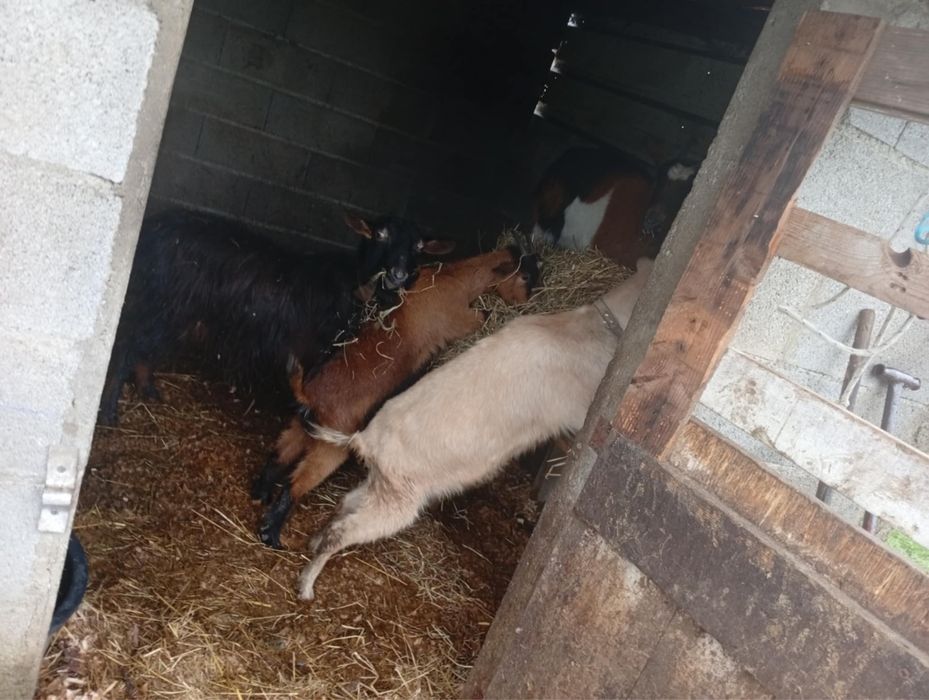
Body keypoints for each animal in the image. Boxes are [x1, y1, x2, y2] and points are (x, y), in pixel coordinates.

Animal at [98, 209, 453, 425]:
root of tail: (150, 228)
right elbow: (306, 388)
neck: (351, 282)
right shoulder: (314, 349)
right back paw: (109, 411)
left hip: (172, 312)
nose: (398, 274)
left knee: (144, 349)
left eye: (419, 246)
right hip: (161, 304)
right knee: (128, 345)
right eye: (379, 234)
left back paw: (148, 390)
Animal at [253, 246, 541, 549]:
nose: (529, 301)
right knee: (295, 483)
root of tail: (309, 396)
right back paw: (271, 534)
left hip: (302, 427)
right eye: (525, 275)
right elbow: (481, 317)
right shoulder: (463, 320)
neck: (453, 279)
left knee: (279, 455)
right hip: (330, 447)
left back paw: (260, 493)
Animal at [295, 258, 653, 600]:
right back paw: (306, 586)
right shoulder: (580, 410)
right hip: (397, 503)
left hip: (384, 487)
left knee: (347, 503)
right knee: (346, 531)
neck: (591, 327)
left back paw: (313, 543)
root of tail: (365, 439)